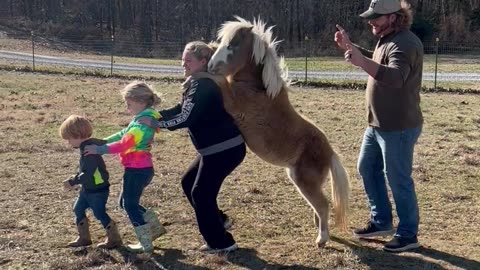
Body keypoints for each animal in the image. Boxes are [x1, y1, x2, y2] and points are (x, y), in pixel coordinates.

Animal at [197, 16, 350, 247]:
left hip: (305, 181)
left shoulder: (233, 102)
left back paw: (321, 239)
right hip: (302, 179)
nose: (212, 65)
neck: (258, 88)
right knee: (318, 205)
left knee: (323, 205)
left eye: (233, 45)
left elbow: (219, 81)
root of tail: (330, 152)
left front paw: (196, 74)